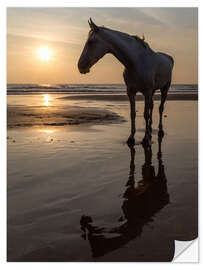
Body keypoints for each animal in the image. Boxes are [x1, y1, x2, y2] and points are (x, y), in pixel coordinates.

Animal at [77, 18, 174, 146]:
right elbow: (133, 114)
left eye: (90, 42)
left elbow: (145, 114)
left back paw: (160, 131)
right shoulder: (131, 92)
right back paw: (150, 129)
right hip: (153, 91)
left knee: (160, 108)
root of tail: (169, 58)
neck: (136, 62)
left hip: (164, 89)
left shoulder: (147, 92)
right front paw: (132, 138)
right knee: (152, 107)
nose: (80, 66)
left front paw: (145, 139)